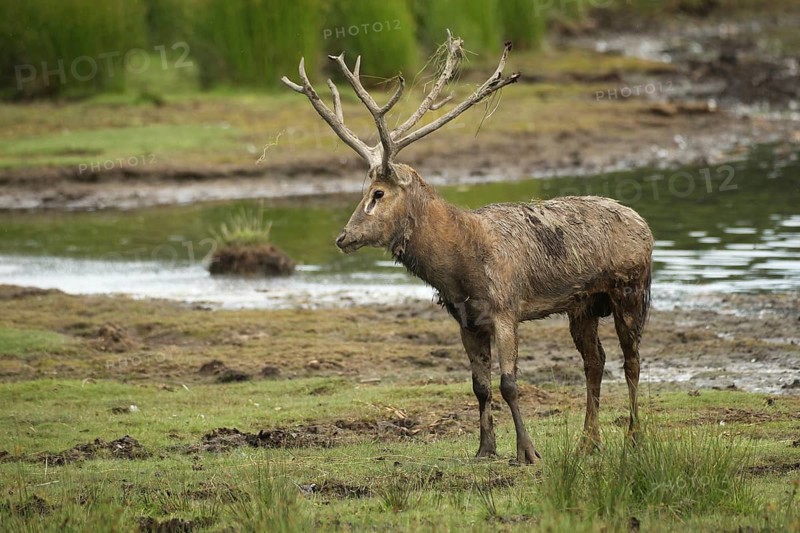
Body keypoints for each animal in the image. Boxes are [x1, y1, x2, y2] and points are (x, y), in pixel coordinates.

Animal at [282, 32, 654, 464]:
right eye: (363, 191)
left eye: (377, 193)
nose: (344, 237)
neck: (460, 268)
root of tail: (644, 225)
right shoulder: (466, 320)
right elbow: (480, 386)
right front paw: (485, 448)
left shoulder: (506, 308)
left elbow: (509, 383)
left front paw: (528, 452)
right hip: (583, 305)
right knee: (595, 362)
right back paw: (587, 443)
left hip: (630, 289)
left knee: (631, 361)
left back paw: (633, 439)